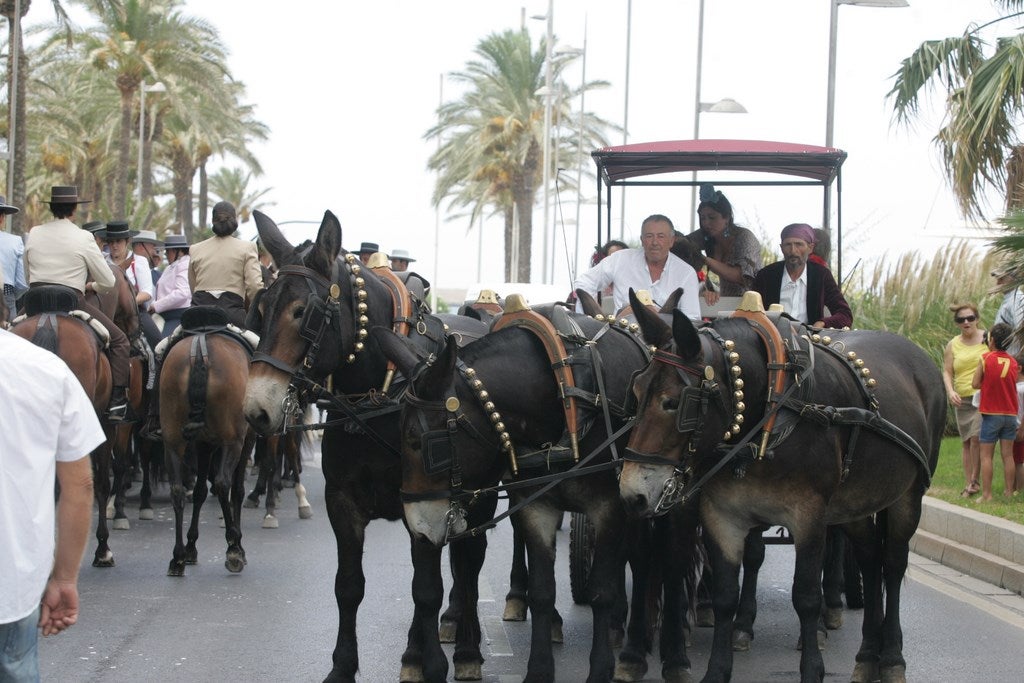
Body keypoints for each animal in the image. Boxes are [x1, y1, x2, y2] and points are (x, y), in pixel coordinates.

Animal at [161, 313, 256, 581]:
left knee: (177, 490)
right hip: (233, 441)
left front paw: (191, 547)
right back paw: (233, 549)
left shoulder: (203, 443)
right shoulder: (245, 440)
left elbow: (201, 491)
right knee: (224, 483)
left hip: (173, 439)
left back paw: (177, 557)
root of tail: (199, 349)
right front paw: (238, 544)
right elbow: (236, 490)